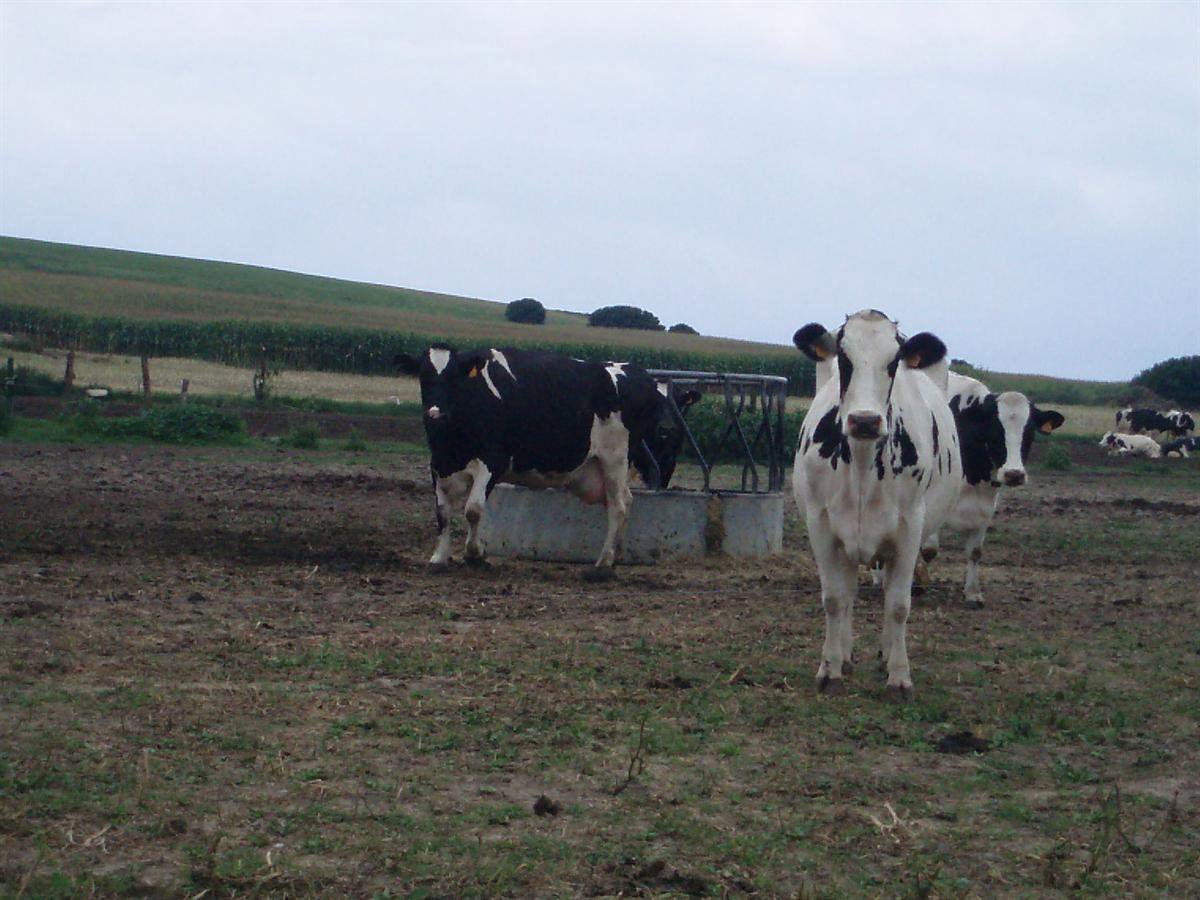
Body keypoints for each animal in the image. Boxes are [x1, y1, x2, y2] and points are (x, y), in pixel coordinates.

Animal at [395, 345, 671, 573]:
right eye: (423, 377)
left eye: (453, 379)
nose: (435, 414)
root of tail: (637, 372)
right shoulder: (437, 465)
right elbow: (442, 512)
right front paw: (439, 557)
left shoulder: (492, 462)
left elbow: (473, 510)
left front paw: (475, 553)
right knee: (627, 499)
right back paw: (616, 555)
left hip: (615, 458)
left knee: (618, 506)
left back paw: (602, 563)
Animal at [792, 310, 961, 701]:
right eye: (843, 358)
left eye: (894, 361)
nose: (865, 420)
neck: (862, 464)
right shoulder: (821, 526)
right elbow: (834, 599)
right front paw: (829, 669)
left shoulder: (910, 530)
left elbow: (898, 605)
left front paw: (899, 676)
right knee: (848, 594)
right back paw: (845, 654)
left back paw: (884, 656)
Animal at [932, 372, 1065, 608]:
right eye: (995, 430)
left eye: (1029, 432)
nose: (1014, 474)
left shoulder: (985, 509)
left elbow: (975, 552)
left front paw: (973, 593)